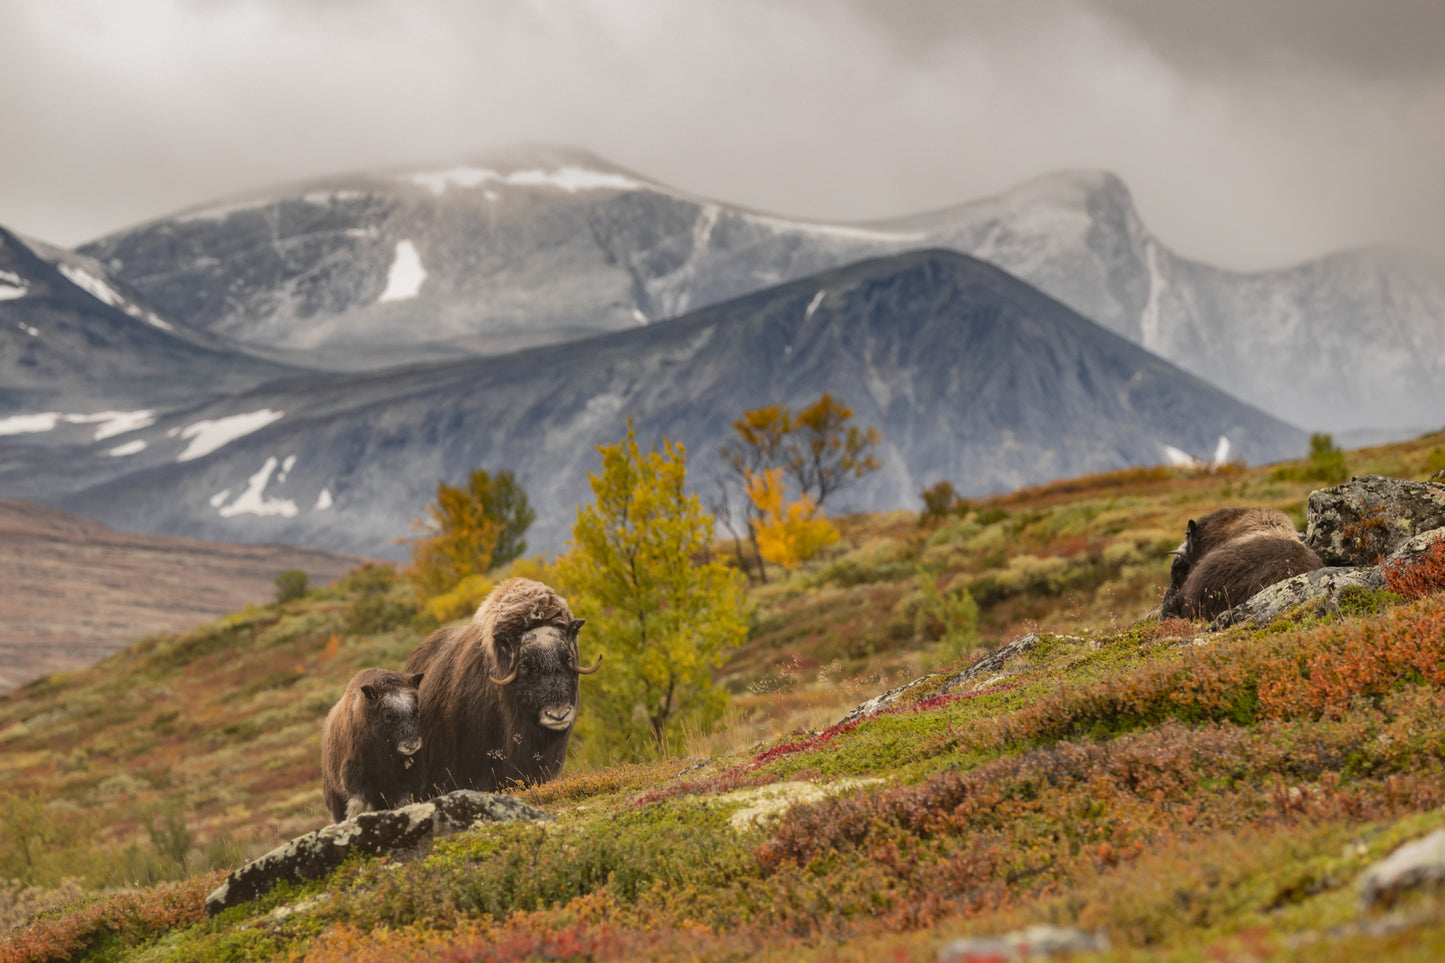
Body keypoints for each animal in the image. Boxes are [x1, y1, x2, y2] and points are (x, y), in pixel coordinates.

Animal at [319, 668, 421, 815]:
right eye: (388, 716)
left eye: (416, 710)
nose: (412, 744)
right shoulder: (355, 778)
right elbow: (356, 805)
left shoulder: (406, 780)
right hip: (334, 795)